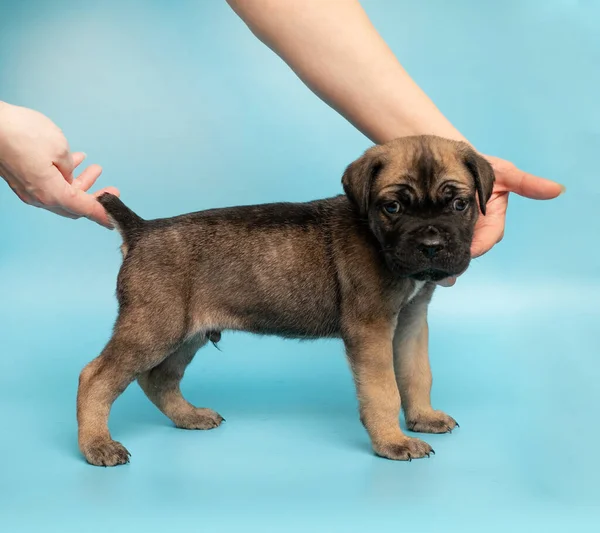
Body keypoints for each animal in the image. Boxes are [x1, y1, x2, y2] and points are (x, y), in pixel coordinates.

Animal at [77, 135, 494, 464]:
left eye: (459, 205)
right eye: (392, 207)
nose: (431, 246)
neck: (376, 237)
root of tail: (141, 230)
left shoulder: (410, 321)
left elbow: (416, 373)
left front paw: (423, 417)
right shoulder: (371, 329)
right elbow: (383, 390)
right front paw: (392, 441)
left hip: (186, 333)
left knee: (158, 378)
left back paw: (188, 416)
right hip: (153, 328)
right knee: (95, 377)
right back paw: (97, 444)